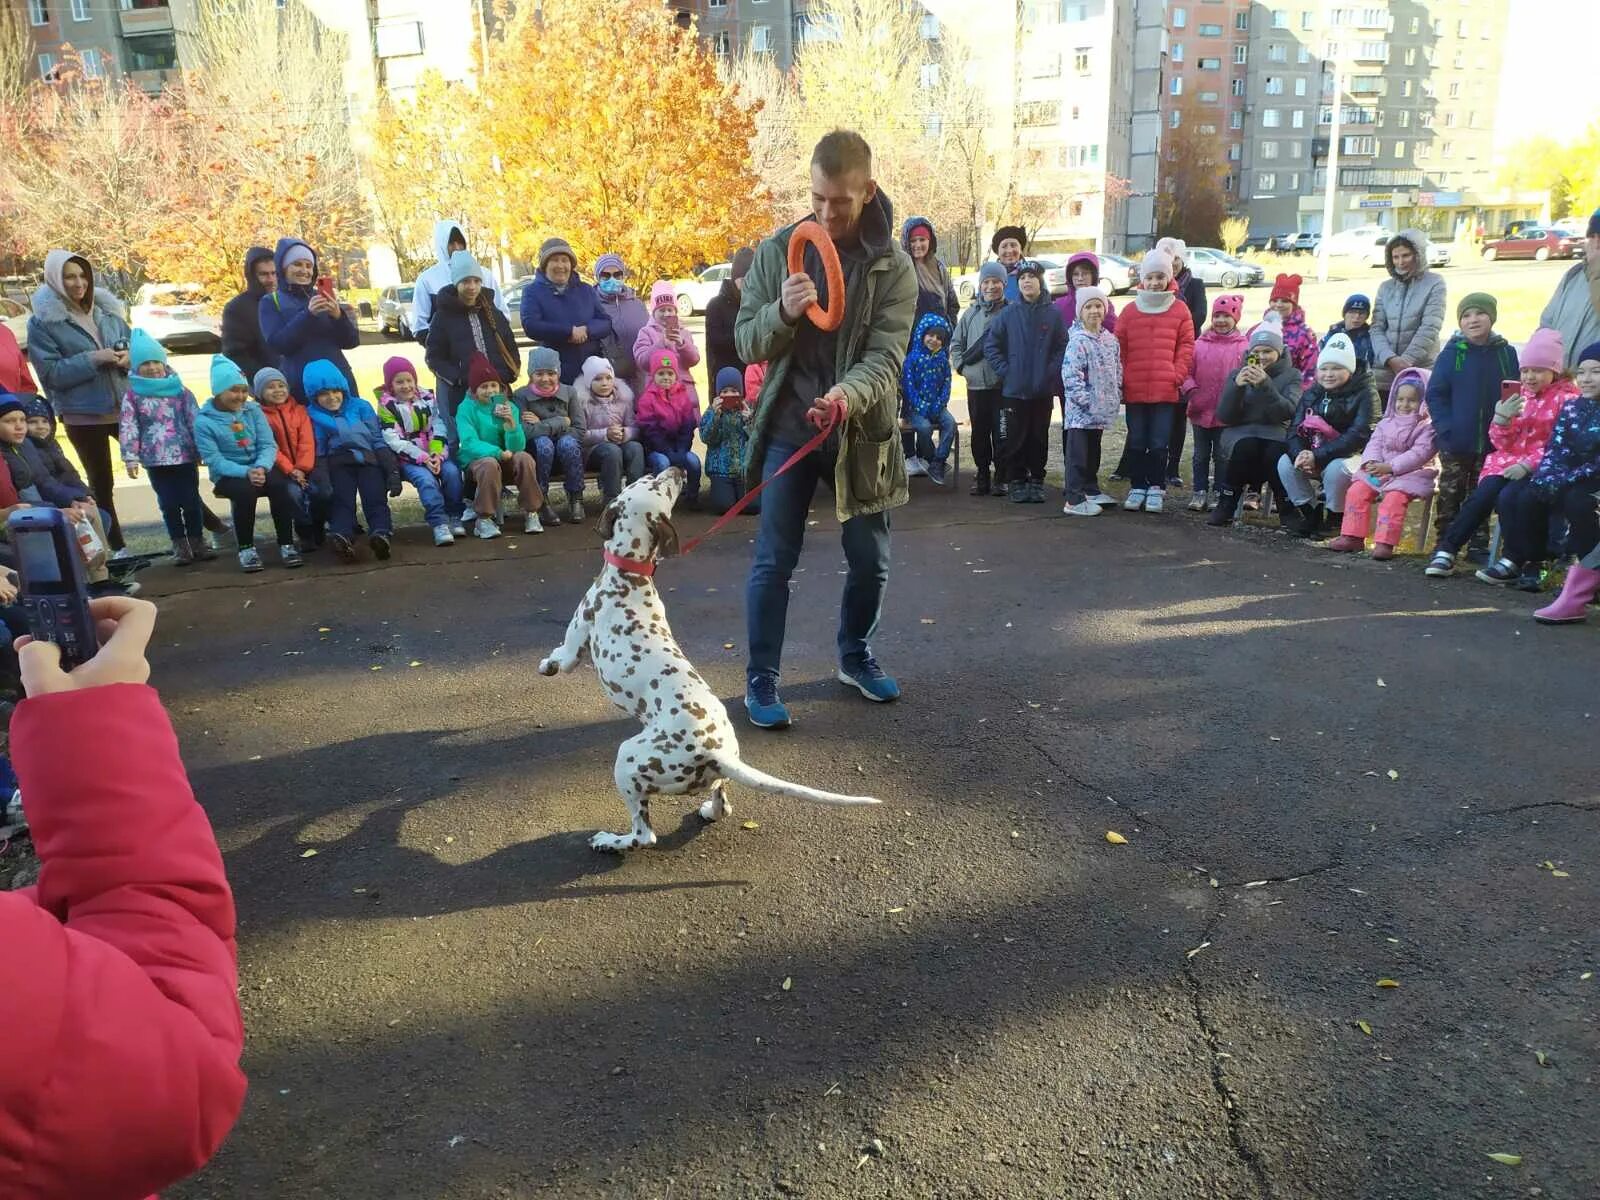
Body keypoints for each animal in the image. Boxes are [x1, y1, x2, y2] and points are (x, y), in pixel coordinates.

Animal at [544, 464, 883, 851]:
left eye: (650, 482)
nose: (677, 468)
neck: (632, 573)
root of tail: (715, 753)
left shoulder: (575, 644)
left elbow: (559, 657)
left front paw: (546, 666)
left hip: (627, 760)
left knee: (644, 834)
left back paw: (610, 841)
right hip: (710, 776)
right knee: (723, 805)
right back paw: (708, 810)